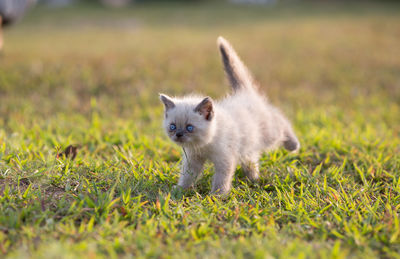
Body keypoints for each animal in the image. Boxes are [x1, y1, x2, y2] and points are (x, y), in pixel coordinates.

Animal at [159, 36, 300, 195]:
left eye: (189, 128)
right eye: (172, 126)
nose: (178, 134)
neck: (203, 145)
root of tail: (244, 92)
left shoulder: (225, 159)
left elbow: (222, 179)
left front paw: (217, 195)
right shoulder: (193, 160)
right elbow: (187, 176)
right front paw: (179, 190)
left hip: (270, 133)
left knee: (280, 119)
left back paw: (293, 145)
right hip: (248, 143)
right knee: (251, 159)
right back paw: (253, 178)